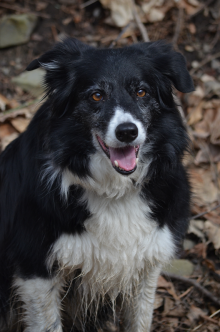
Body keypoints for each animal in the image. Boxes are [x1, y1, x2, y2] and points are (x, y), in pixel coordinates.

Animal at [0, 39, 193, 332]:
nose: (127, 132)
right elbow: (49, 323)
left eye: (141, 92)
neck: (115, 191)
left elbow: (140, 320)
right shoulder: (35, 269)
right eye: (96, 96)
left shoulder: (147, 261)